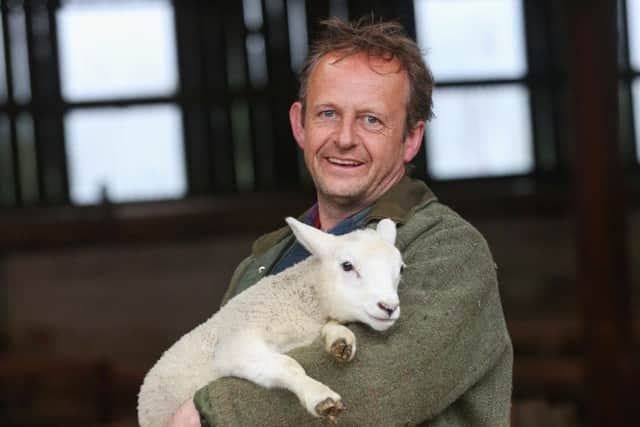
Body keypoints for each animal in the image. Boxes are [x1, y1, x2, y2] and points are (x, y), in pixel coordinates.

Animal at [138, 219, 402, 426]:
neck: (296, 305)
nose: (389, 307)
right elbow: (287, 365)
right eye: (347, 266)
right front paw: (320, 397)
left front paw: (341, 340)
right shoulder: (234, 347)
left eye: (399, 269)